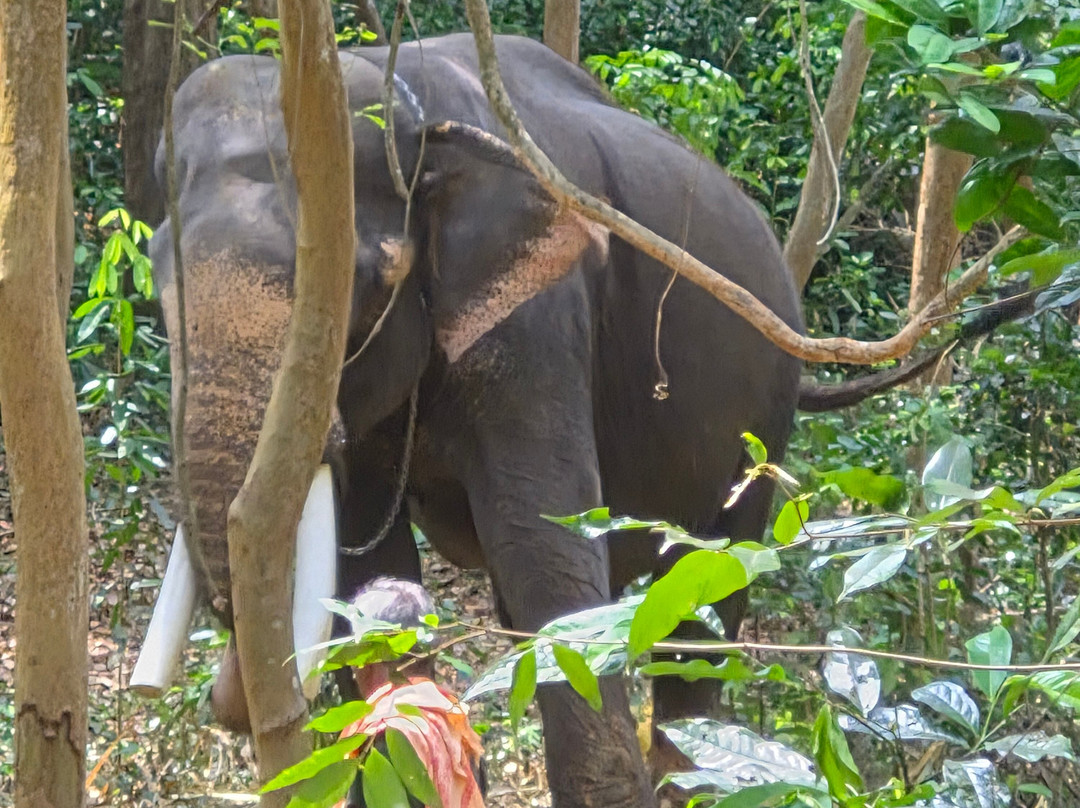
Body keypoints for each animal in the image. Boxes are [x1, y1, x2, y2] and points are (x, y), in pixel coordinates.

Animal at [147, 33, 803, 808]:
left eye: (360, 289)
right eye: (156, 284)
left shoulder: (536, 319)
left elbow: (540, 545)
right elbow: (365, 556)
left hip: (765, 419)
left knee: (708, 592)